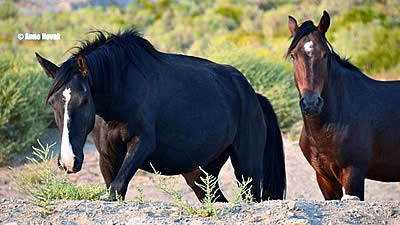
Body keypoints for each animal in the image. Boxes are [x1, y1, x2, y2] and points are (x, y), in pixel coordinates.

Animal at [33, 29, 284, 200]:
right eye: (52, 103)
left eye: (84, 100)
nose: (68, 161)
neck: (121, 92)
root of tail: (252, 95)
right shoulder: (107, 155)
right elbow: (114, 191)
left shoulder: (141, 144)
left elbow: (117, 188)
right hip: (200, 173)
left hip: (247, 166)